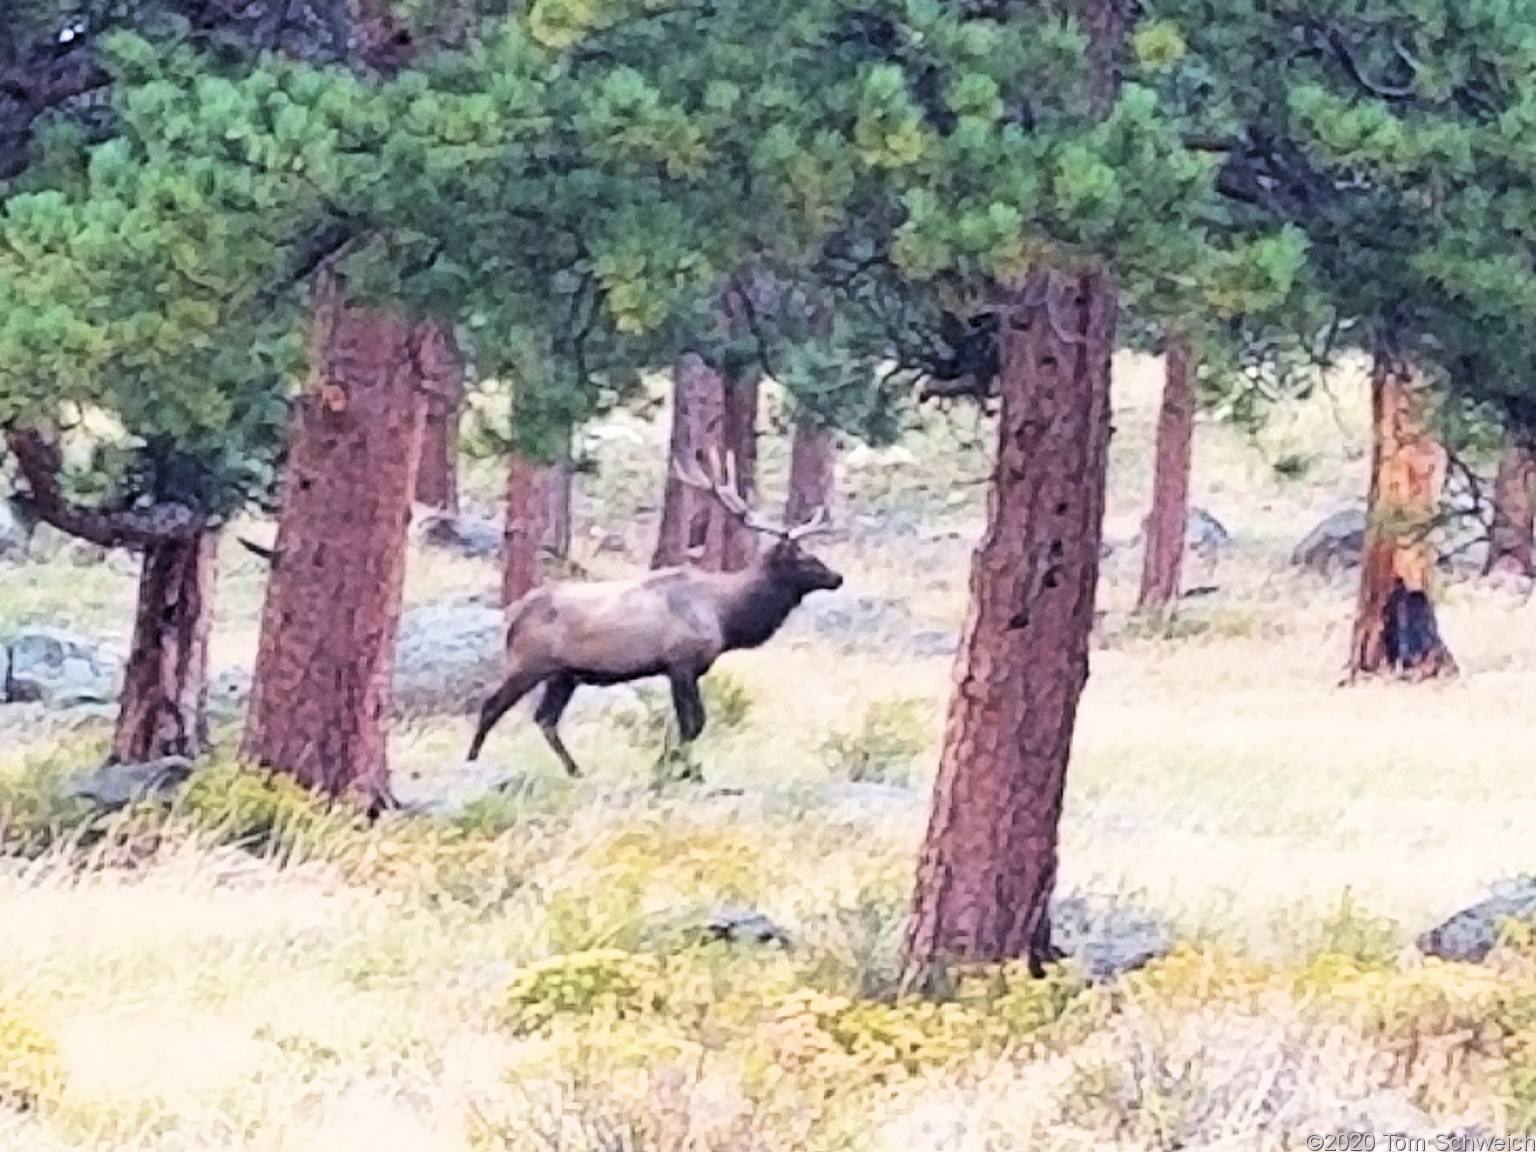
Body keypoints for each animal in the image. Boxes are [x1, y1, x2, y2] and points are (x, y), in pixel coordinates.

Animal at [466, 451, 847, 777]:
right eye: (805, 559)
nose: (837, 577)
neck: (726, 617)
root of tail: (512, 617)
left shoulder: (683, 669)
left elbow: (687, 724)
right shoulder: (681, 662)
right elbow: (694, 724)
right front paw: (676, 769)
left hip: (564, 674)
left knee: (545, 718)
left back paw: (576, 771)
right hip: (529, 663)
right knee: (491, 706)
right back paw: (471, 760)